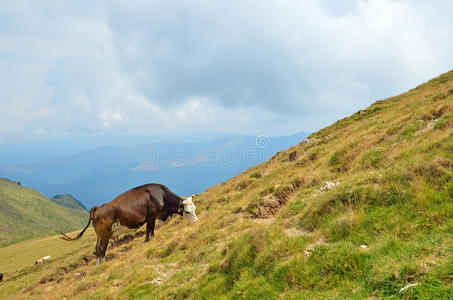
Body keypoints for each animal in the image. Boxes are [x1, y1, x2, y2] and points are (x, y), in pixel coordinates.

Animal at [60, 183, 198, 264]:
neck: (162, 196)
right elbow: (149, 231)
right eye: (187, 211)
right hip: (105, 235)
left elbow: (151, 232)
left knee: (97, 249)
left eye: (194, 208)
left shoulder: (152, 219)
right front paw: (148, 241)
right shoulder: (151, 218)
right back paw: (103, 265)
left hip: (99, 235)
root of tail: (98, 207)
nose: (197, 222)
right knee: (102, 250)